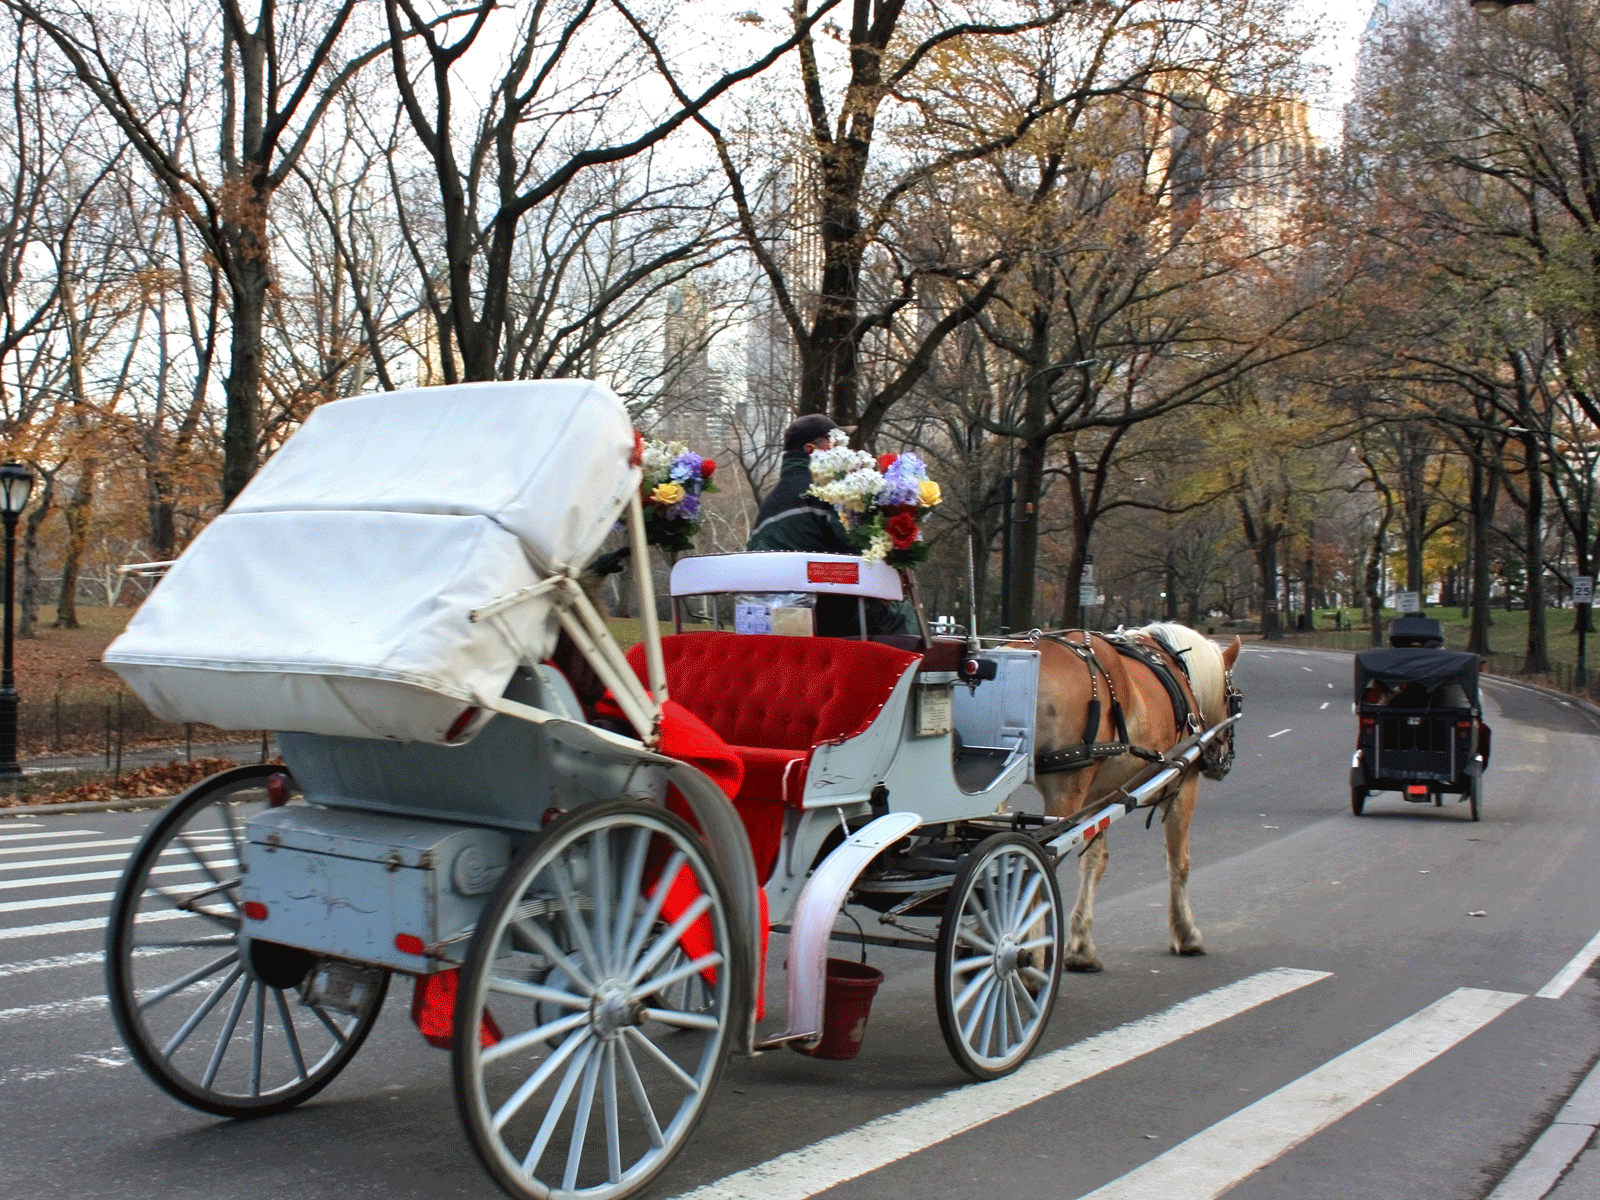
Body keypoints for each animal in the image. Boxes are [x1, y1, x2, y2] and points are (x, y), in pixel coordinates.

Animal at [1017, 624, 1241, 972]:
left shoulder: (1100, 797)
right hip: (1066, 791)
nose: (1222, 762)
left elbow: (1095, 861)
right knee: (1037, 867)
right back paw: (1032, 959)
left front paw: (1081, 946)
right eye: (1234, 697)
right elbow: (1179, 861)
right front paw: (1186, 933)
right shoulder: (1182, 785)